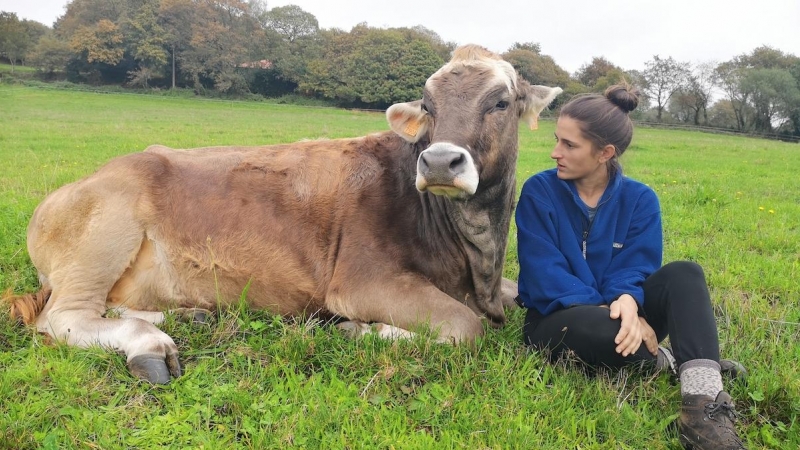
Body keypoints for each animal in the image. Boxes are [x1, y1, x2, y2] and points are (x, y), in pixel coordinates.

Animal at [6, 44, 560, 384]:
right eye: (427, 104)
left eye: (502, 102)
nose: (440, 161)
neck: (475, 262)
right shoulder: (362, 280)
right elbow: (465, 329)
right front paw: (359, 330)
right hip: (103, 233)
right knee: (64, 317)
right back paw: (149, 344)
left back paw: (189, 315)